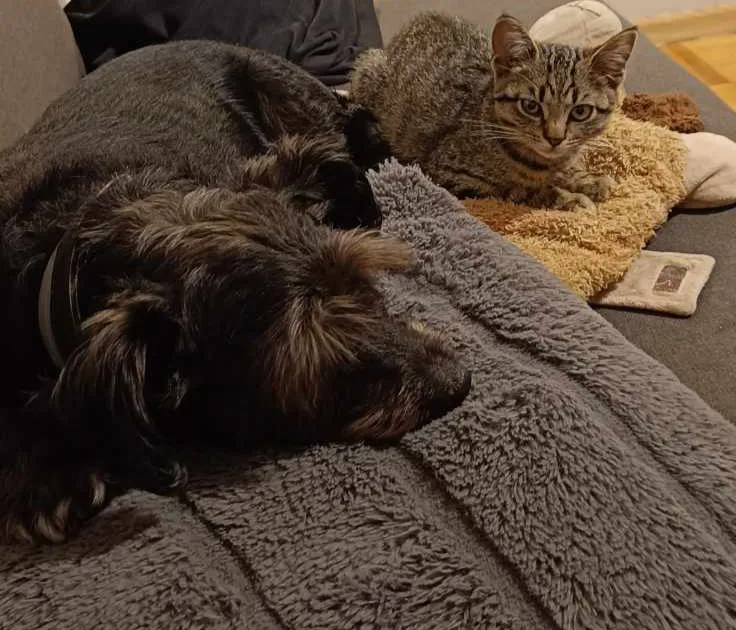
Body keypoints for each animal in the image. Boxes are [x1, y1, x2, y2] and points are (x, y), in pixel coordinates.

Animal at [350, 12, 638, 210]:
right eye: (531, 106)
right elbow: (520, 191)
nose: (554, 139)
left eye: (580, 112)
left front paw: (586, 179)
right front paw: (569, 198)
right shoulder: (450, 175)